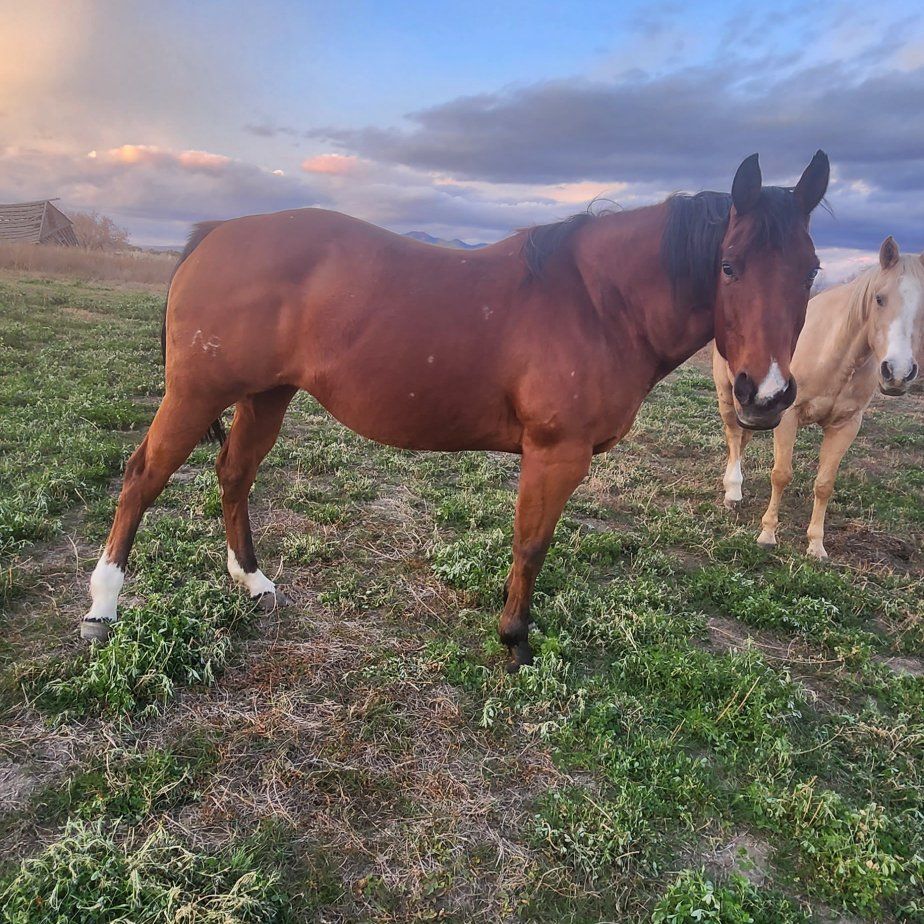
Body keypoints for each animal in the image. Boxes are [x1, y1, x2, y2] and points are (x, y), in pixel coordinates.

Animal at [82, 151, 829, 671]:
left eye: (811, 271)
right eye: (729, 266)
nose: (765, 396)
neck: (597, 301)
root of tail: (213, 235)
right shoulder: (555, 454)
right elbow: (531, 545)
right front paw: (515, 641)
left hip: (266, 397)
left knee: (234, 475)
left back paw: (252, 580)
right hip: (195, 395)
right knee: (142, 478)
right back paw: (102, 606)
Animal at [714, 236, 924, 559]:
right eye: (879, 299)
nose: (898, 372)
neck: (836, 353)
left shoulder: (846, 426)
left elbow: (824, 484)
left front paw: (816, 544)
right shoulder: (788, 416)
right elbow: (781, 474)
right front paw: (767, 534)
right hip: (728, 395)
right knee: (734, 437)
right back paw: (733, 491)